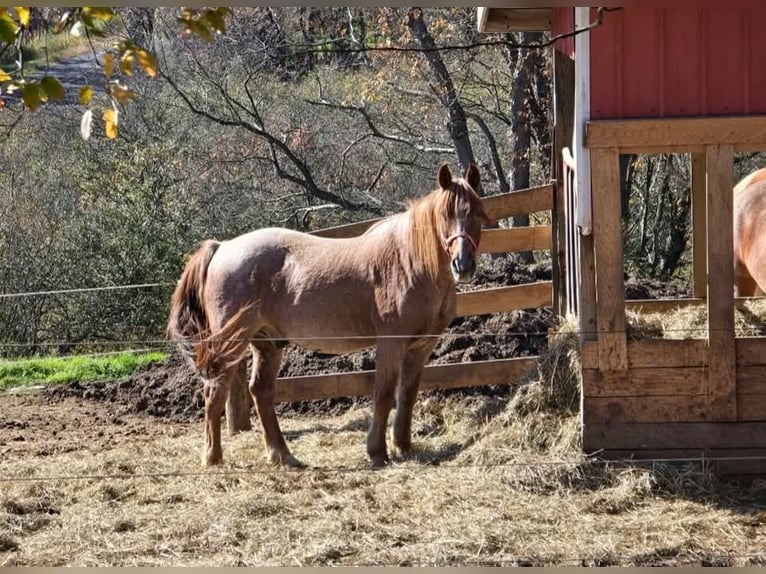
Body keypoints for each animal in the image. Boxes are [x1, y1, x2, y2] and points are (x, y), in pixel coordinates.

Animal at [168, 164, 492, 470]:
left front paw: (403, 446)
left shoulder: (421, 346)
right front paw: (377, 451)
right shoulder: (390, 343)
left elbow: (408, 395)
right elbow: (385, 394)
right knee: (215, 392)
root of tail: (222, 247)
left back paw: (282, 454)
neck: (410, 261)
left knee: (261, 391)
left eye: (477, 212)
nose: (463, 264)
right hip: (231, 343)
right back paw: (213, 457)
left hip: (267, 344)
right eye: (445, 214)